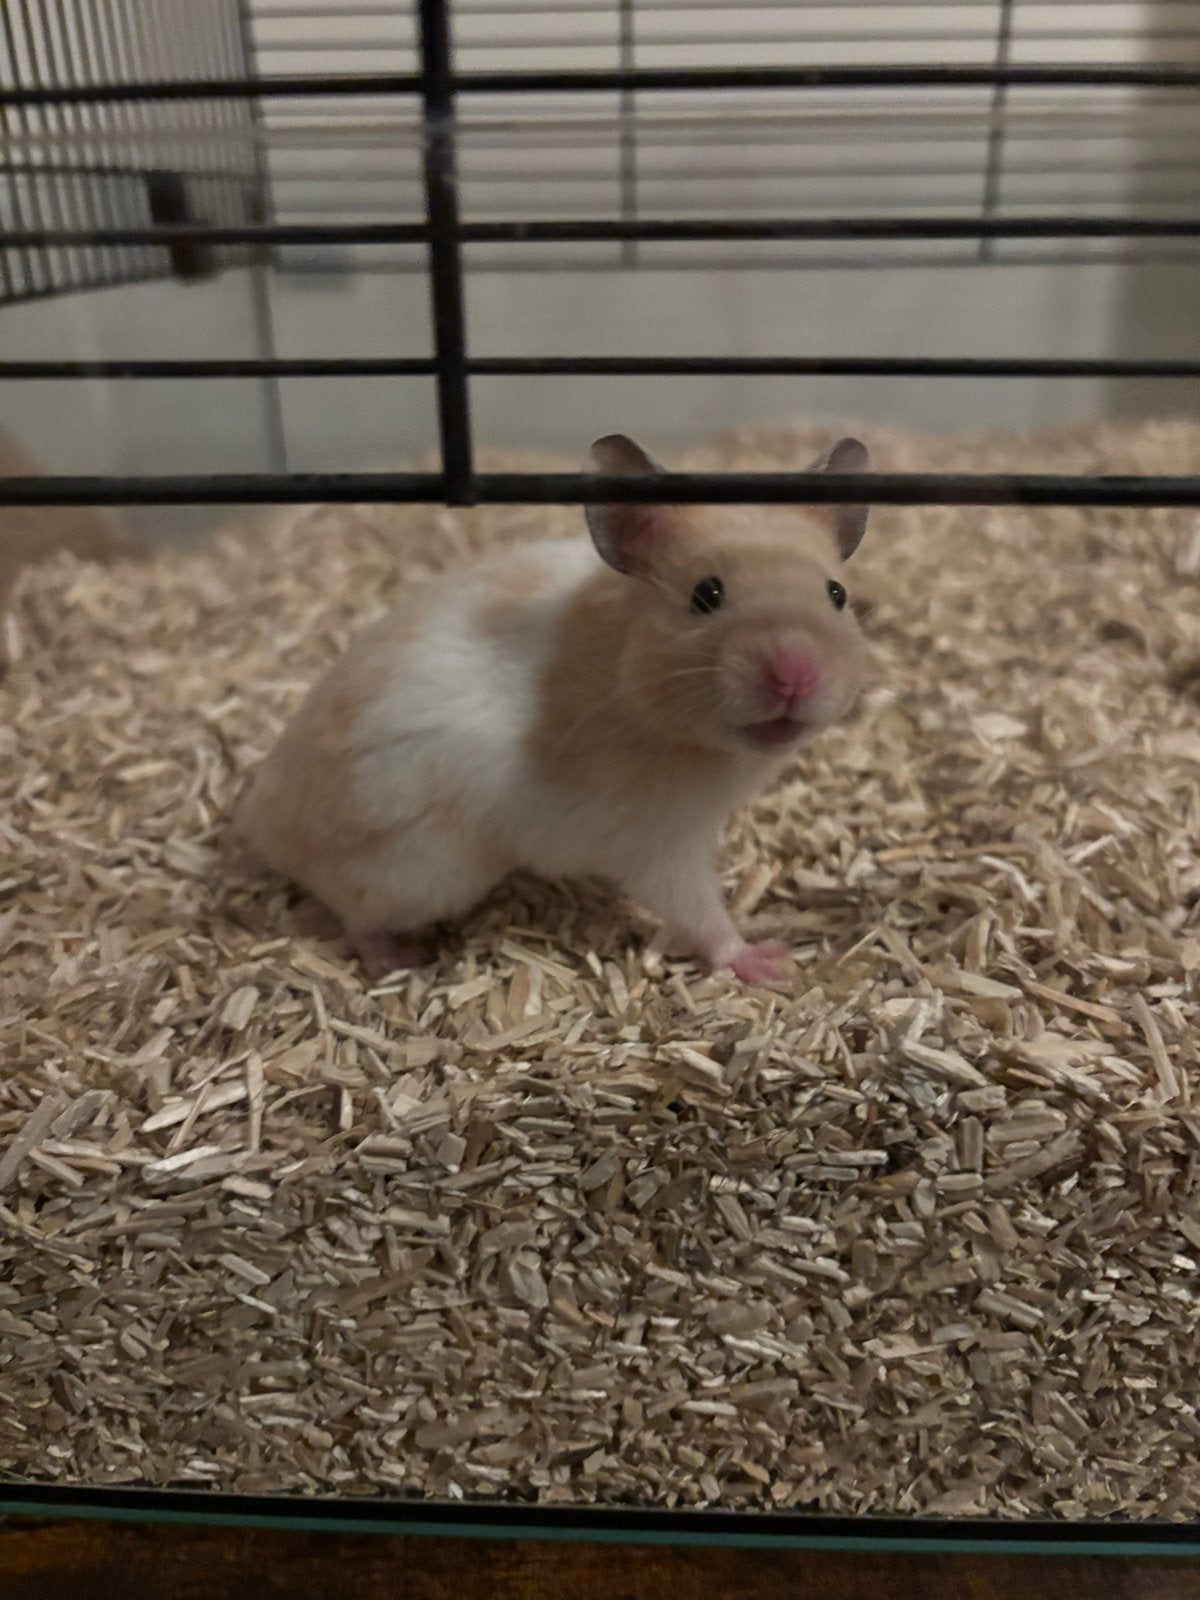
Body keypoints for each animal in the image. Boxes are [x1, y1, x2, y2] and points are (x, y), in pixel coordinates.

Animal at [237, 433, 872, 983]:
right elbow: (700, 913)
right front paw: (769, 963)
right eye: (706, 595)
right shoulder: (655, 841)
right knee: (356, 919)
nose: (796, 676)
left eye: (837, 595)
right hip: (418, 871)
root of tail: (262, 826)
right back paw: (400, 960)